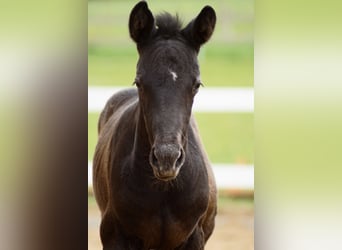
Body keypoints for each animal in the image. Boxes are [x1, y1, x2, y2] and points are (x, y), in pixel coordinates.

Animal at [93, 2, 216, 250]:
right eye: (138, 82)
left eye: (197, 84)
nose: (167, 158)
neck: (163, 191)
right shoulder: (113, 236)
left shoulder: (195, 237)